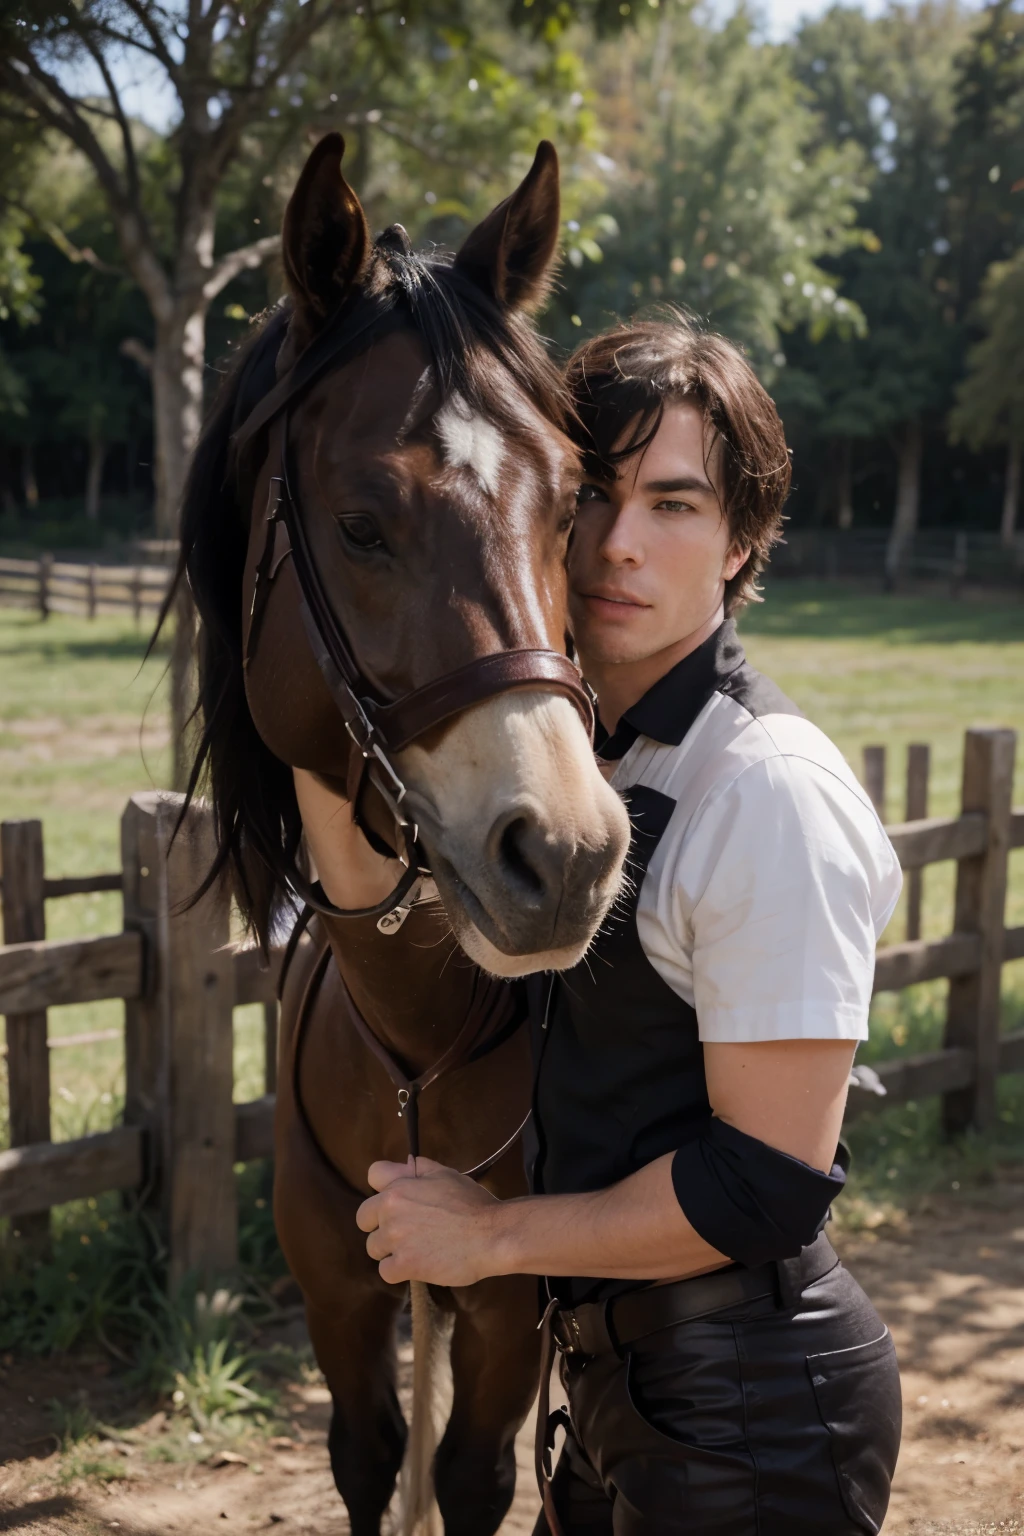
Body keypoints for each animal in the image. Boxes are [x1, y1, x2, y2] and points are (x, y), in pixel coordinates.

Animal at [176, 135, 629, 1536]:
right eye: (361, 523)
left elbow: (473, 1477)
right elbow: (372, 1460)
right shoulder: (337, 1295)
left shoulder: (503, 1310)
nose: (567, 855)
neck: (418, 1037)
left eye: (573, 506)